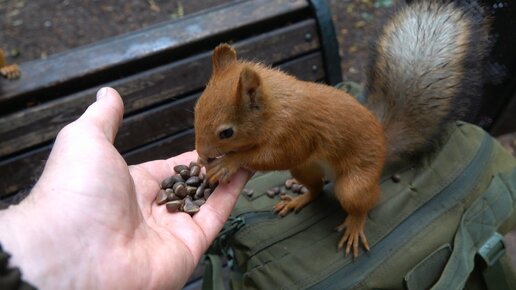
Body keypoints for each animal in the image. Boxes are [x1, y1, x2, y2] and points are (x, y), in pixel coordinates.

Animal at [192, 0, 488, 258]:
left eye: (226, 133)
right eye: (195, 109)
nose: (202, 153)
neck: (276, 107)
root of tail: (383, 144)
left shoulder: (296, 132)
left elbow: (274, 156)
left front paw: (228, 162)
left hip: (354, 183)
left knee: (367, 200)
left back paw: (354, 225)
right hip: (305, 169)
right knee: (316, 189)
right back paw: (298, 200)